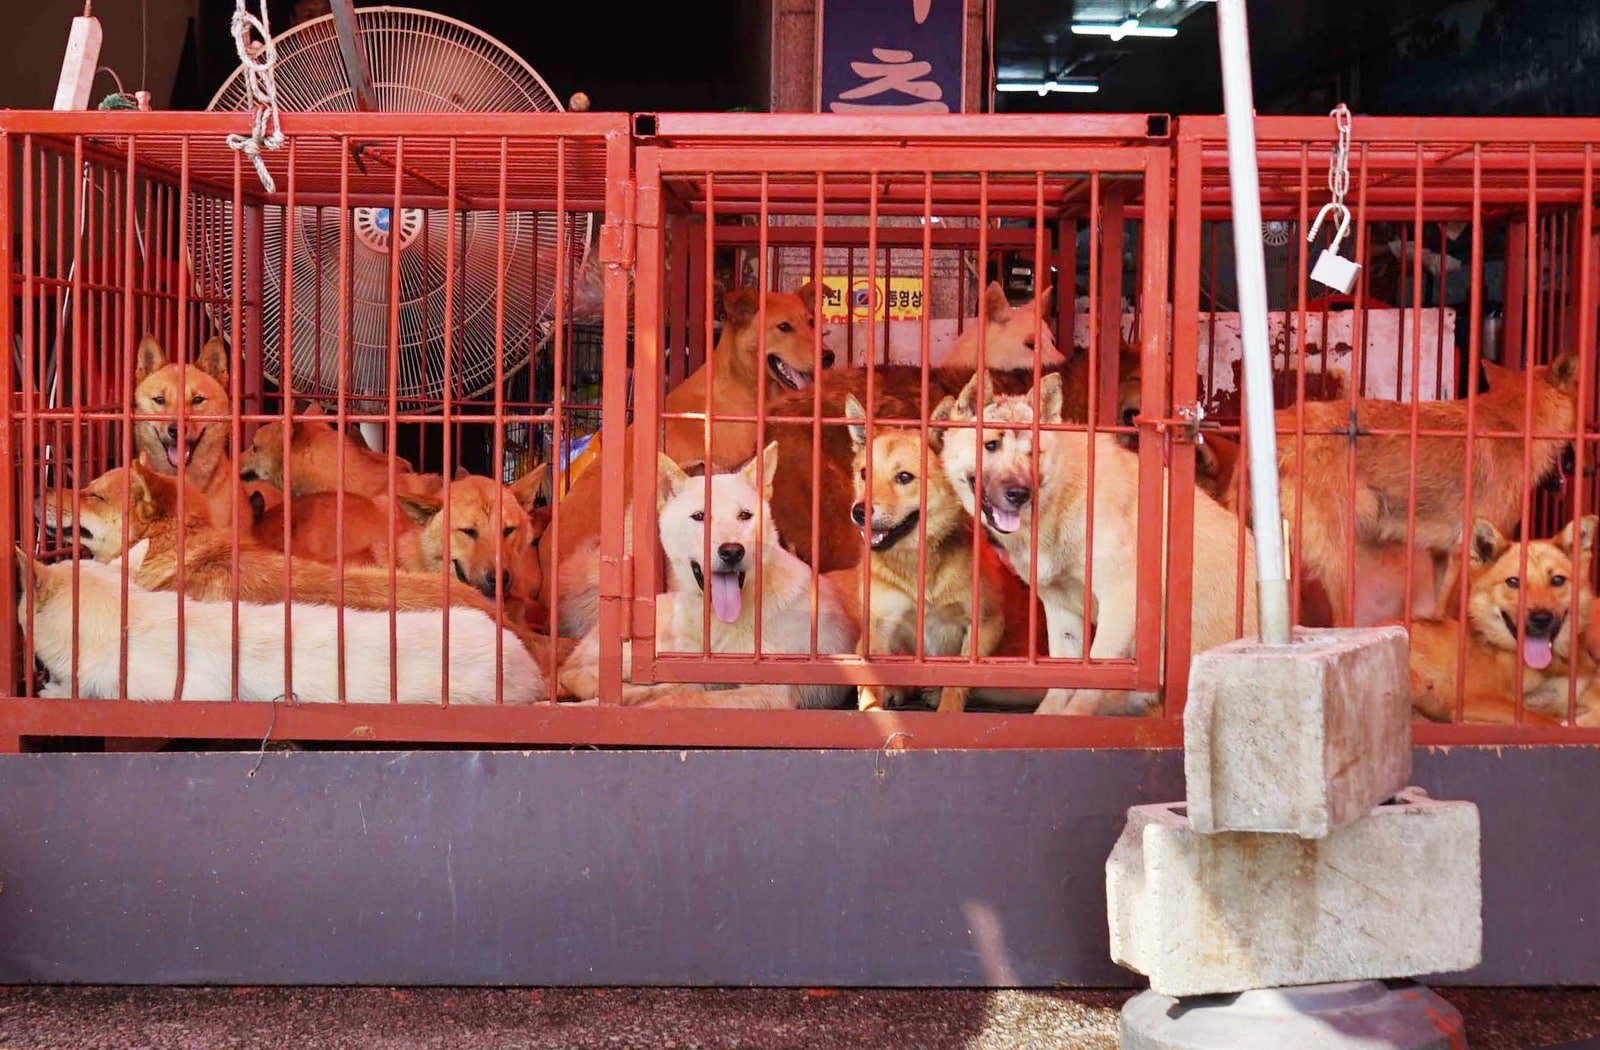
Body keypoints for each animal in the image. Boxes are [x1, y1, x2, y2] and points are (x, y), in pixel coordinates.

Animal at [838, 395, 998, 713]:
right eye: (864, 473)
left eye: (904, 477)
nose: (859, 512)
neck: (916, 562)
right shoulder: (877, 628)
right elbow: (870, 685)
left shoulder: (986, 622)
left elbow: (957, 684)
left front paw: (947, 710)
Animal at [934, 366, 1260, 713]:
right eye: (992, 445)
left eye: (1035, 453)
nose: (1020, 493)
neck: (1058, 503)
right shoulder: (1061, 609)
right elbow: (1062, 684)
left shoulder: (1122, 598)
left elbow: (1091, 685)